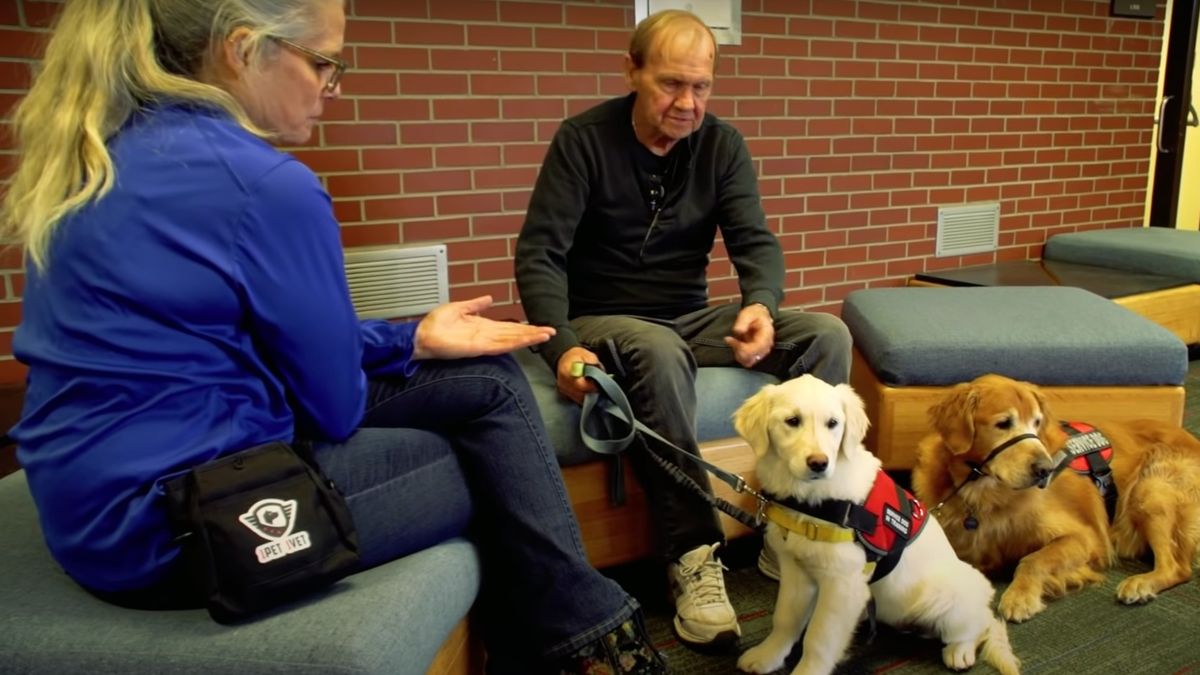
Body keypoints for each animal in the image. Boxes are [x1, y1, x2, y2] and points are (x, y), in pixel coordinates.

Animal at [734, 372, 1017, 672]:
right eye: (792, 421)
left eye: (832, 423)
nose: (819, 463)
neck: (817, 501)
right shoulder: (795, 570)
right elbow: (785, 619)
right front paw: (767, 656)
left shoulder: (843, 583)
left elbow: (819, 638)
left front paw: (807, 670)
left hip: (950, 595)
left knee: (980, 624)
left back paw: (960, 651)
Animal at [912, 372, 1195, 619]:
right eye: (1003, 424)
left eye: (1037, 423)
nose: (1045, 470)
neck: (984, 493)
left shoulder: (1085, 537)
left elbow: (1032, 559)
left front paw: (1019, 596)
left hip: (1149, 490)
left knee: (1177, 566)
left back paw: (1141, 583)